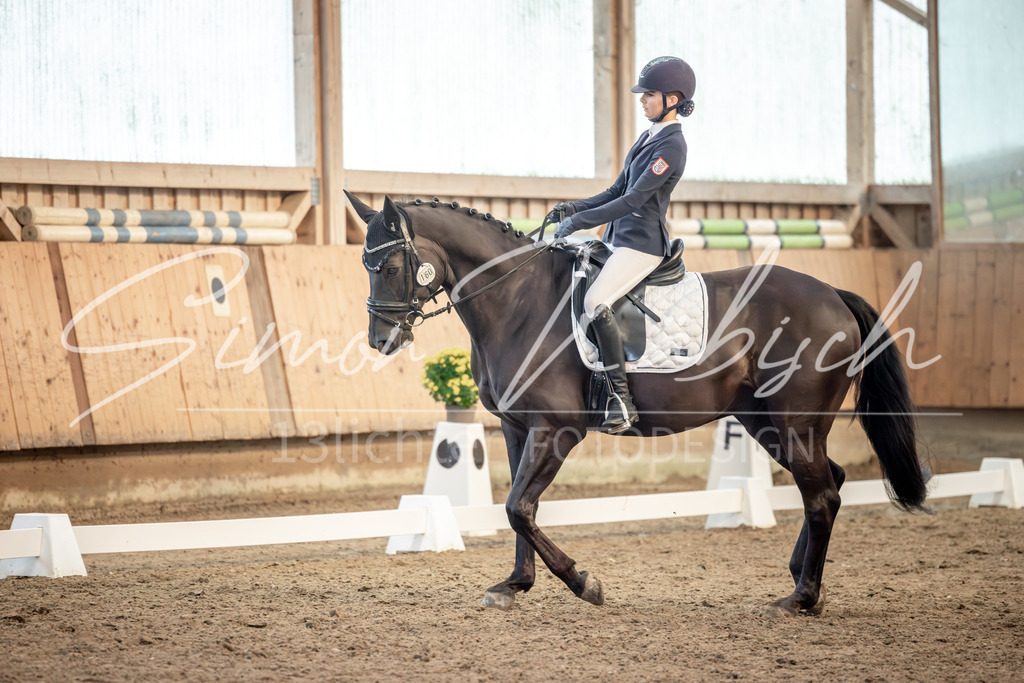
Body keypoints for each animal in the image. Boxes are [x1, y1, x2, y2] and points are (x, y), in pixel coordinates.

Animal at [347, 191, 929, 615]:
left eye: (391, 267)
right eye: (365, 266)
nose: (381, 340)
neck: (518, 299)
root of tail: (833, 295)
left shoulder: (556, 428)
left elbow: (519, 508)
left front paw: (584, 583)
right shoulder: (517, 427)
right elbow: (516, 508)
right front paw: (513, 584)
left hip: (793, 423)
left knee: (822, 496)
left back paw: (801, 598)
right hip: (765, 422)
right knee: (830, 482)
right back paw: (802, 579)